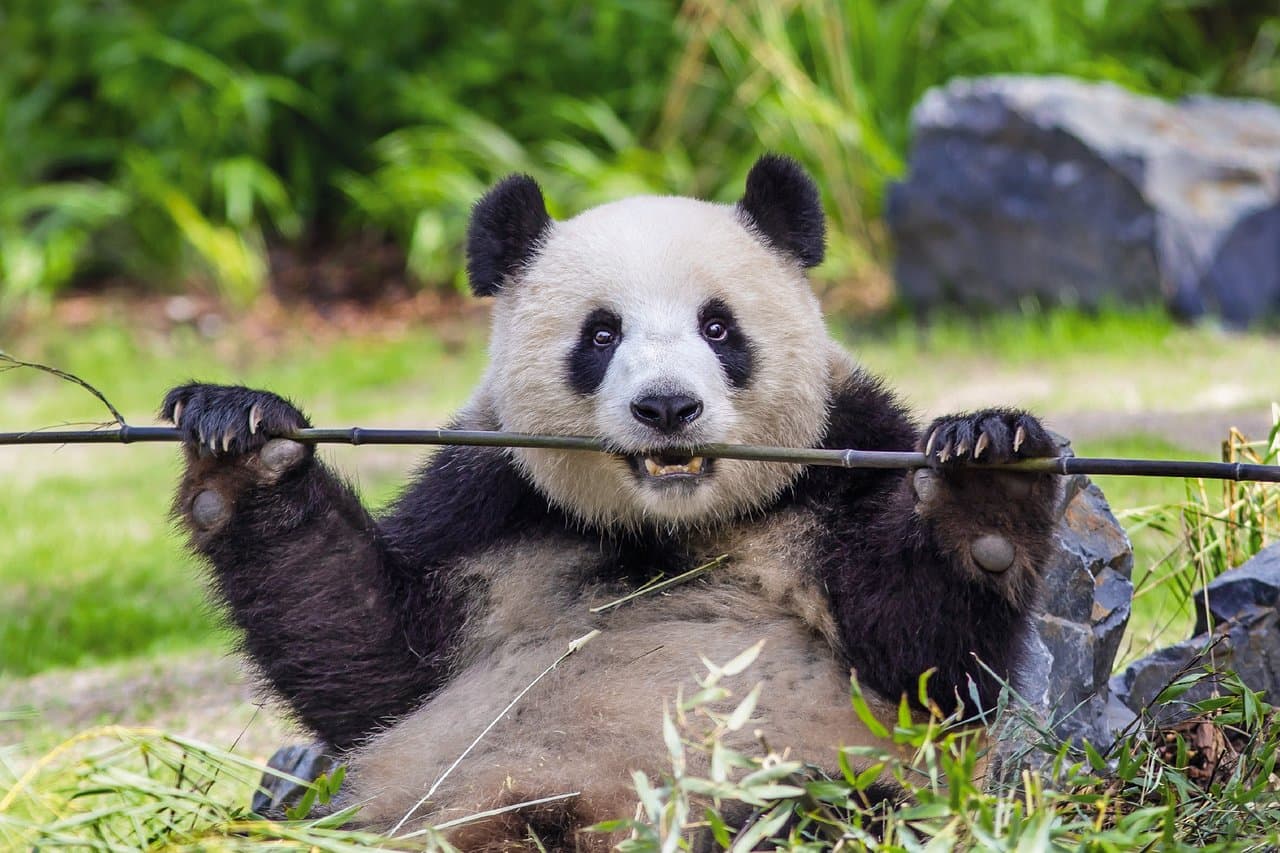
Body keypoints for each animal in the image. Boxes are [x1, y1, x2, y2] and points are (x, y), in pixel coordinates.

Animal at [162, 154, 1059, 850]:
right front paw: (245, 439)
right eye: (600, 334)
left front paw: (990, 472)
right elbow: (372, 659)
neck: (666, 528)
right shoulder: (487, 501)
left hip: (804, 783)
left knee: (821, 812)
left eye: (718, 327)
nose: (667, 406)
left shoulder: (845, 461)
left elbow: (926, 660)